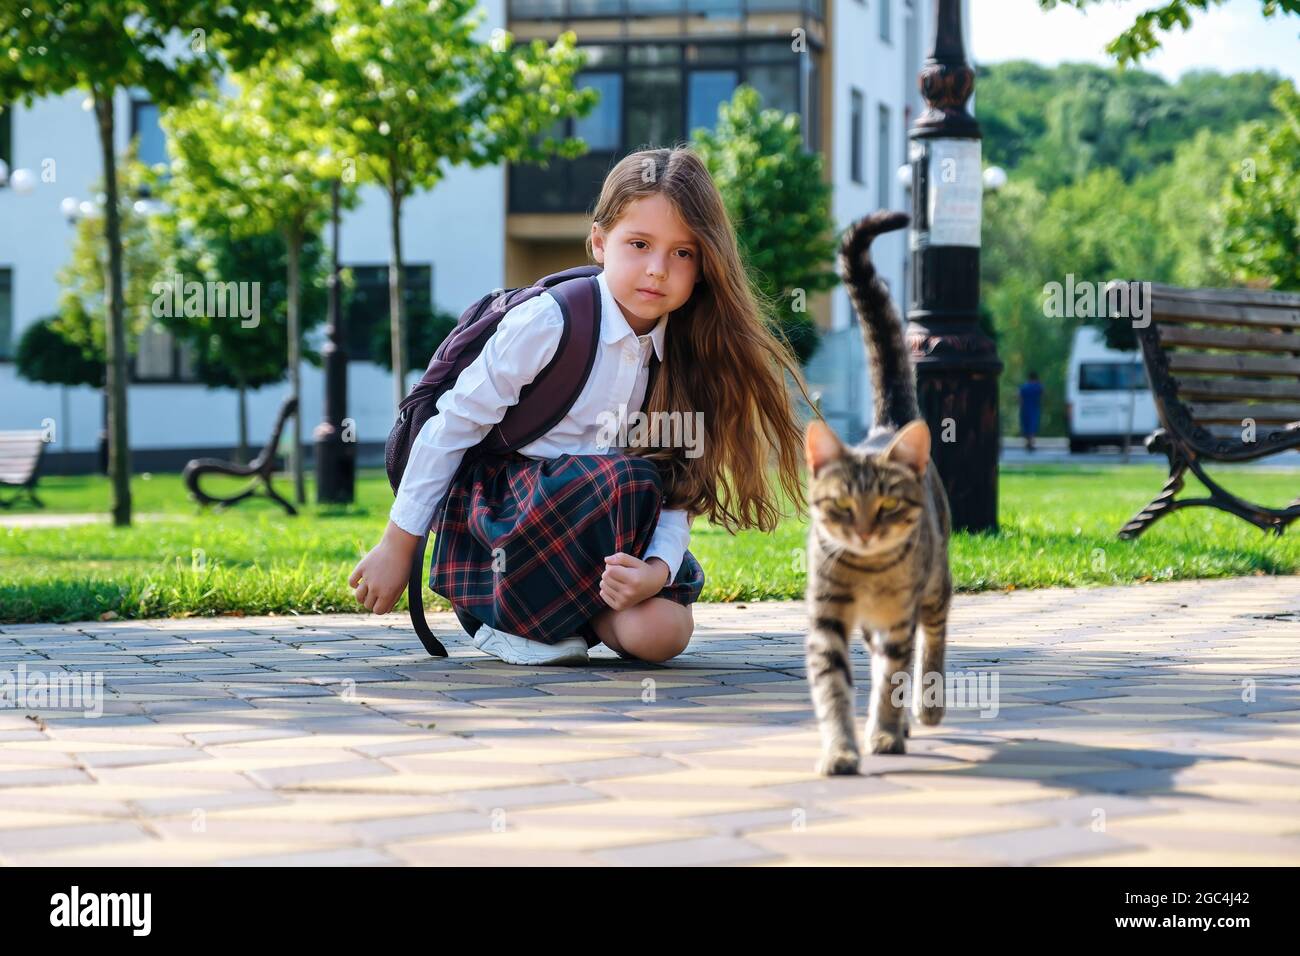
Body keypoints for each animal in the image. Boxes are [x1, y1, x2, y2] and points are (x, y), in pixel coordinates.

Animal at [800, 210, 956, 780]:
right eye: (842, 506)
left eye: (887, 506)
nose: (865, 533)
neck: (867, 573)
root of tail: (888, 425)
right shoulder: (827, 618)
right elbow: (833, 687)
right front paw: (840, 748)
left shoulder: (897, 620)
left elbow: (894, 677)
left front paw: (885, 733)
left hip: (934, 585)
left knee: (931, 640)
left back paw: (924, 709)